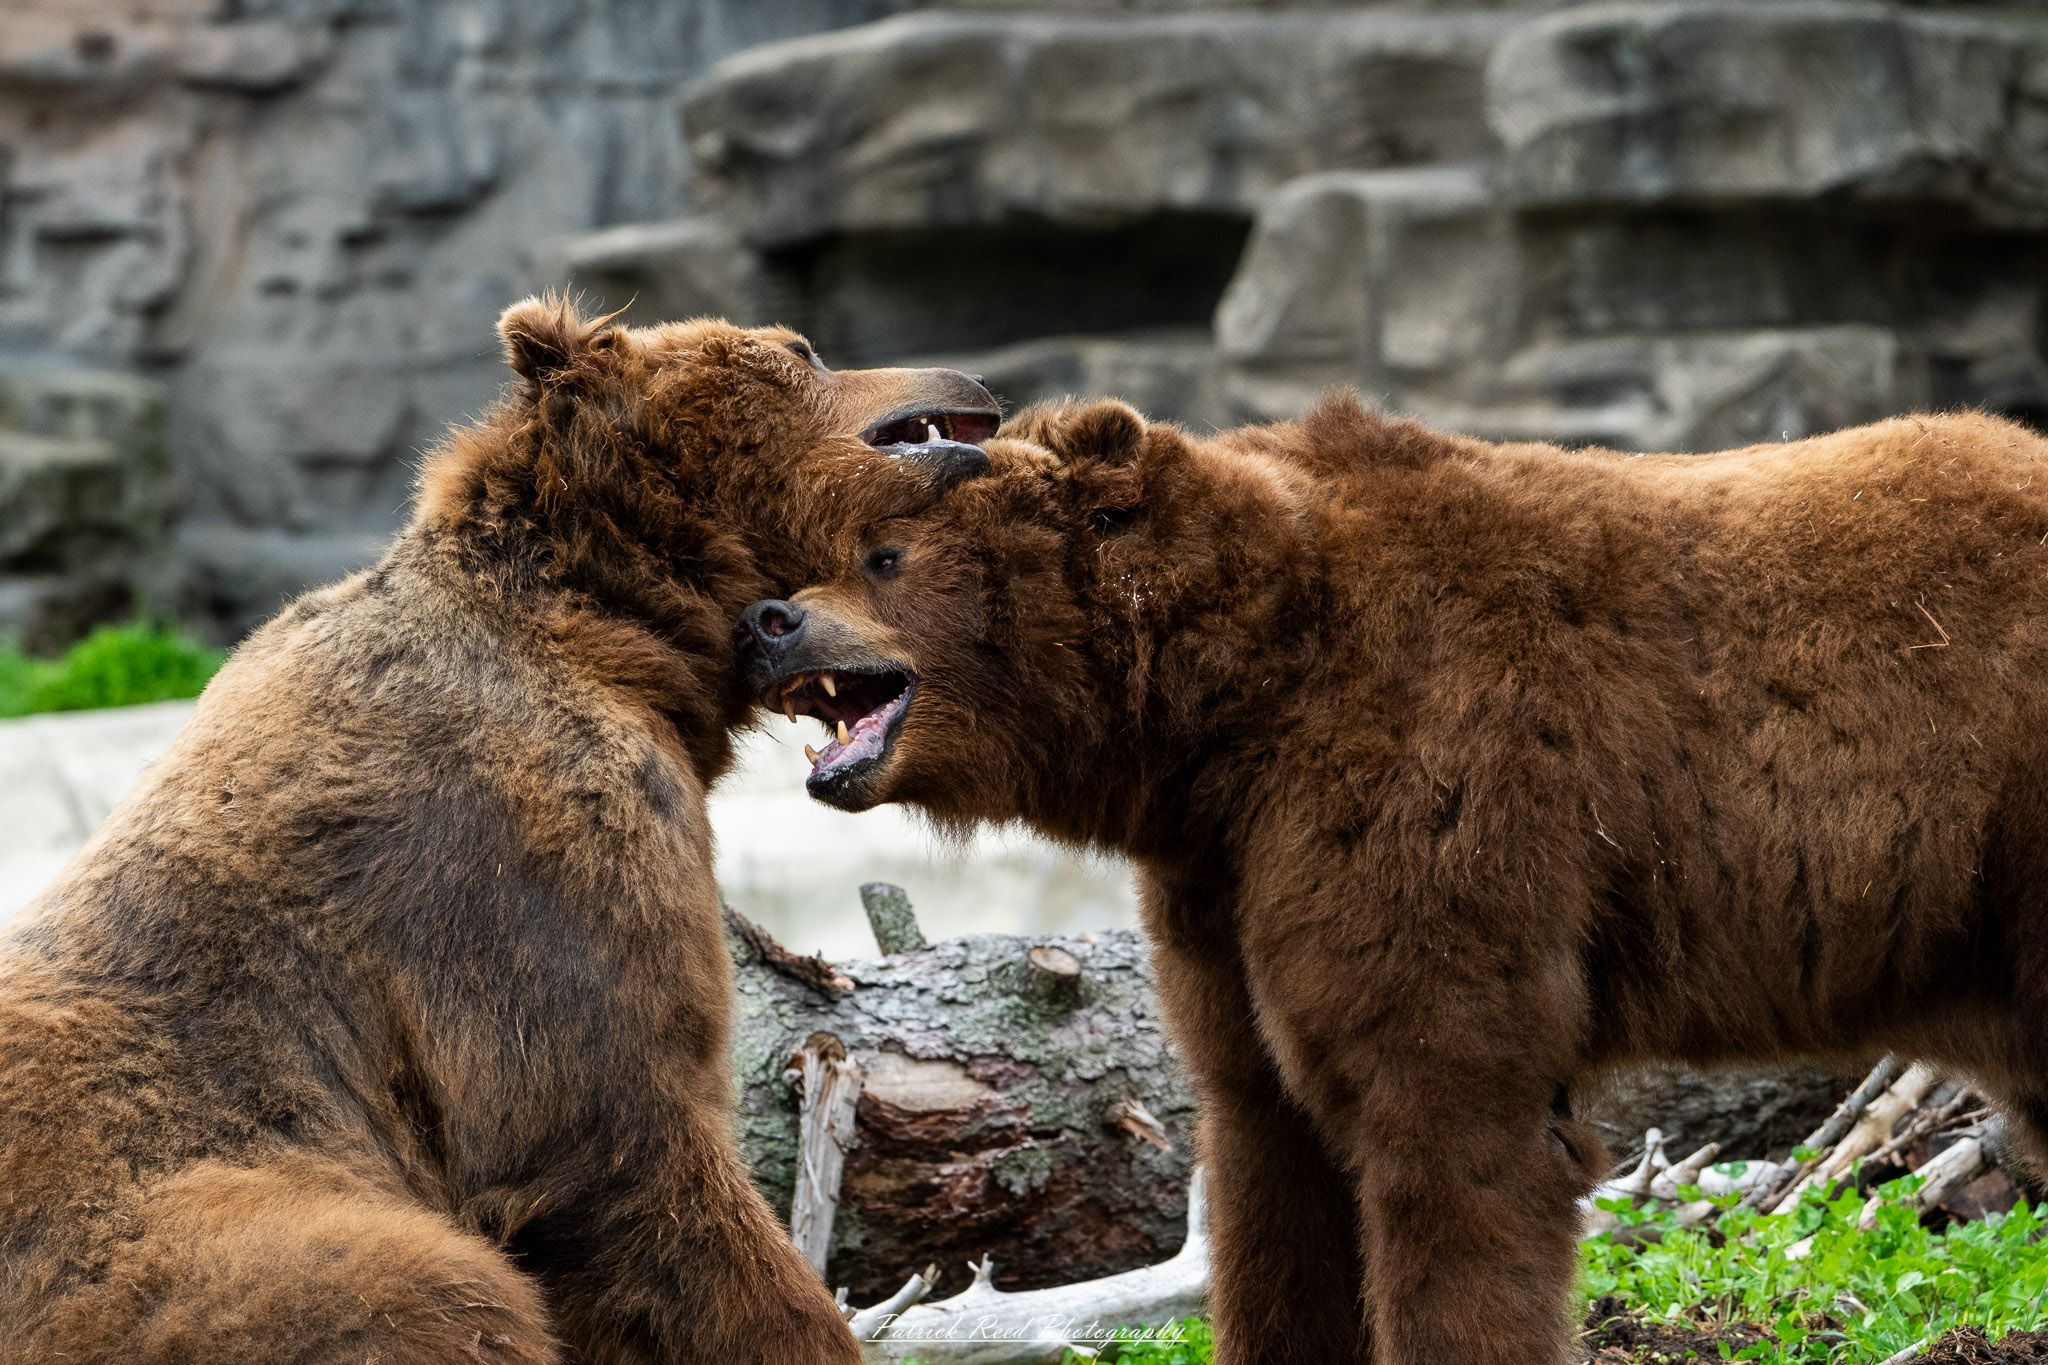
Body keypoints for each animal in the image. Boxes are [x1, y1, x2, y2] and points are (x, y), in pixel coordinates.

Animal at [0, 296, 1000, 1365]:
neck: (619, 632)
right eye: (799, 350)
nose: (967, 379)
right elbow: (608, 1123)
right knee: (425, 1286)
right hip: (177, 1232)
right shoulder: (516, 842)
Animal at [735, 394, 2048, 1365]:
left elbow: (1446, 1132)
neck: (1236, 706)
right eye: (834, 553)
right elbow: (1267, 1152)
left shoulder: (1434, 796)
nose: (765, 622)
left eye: (884, 557)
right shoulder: (1228, 883)